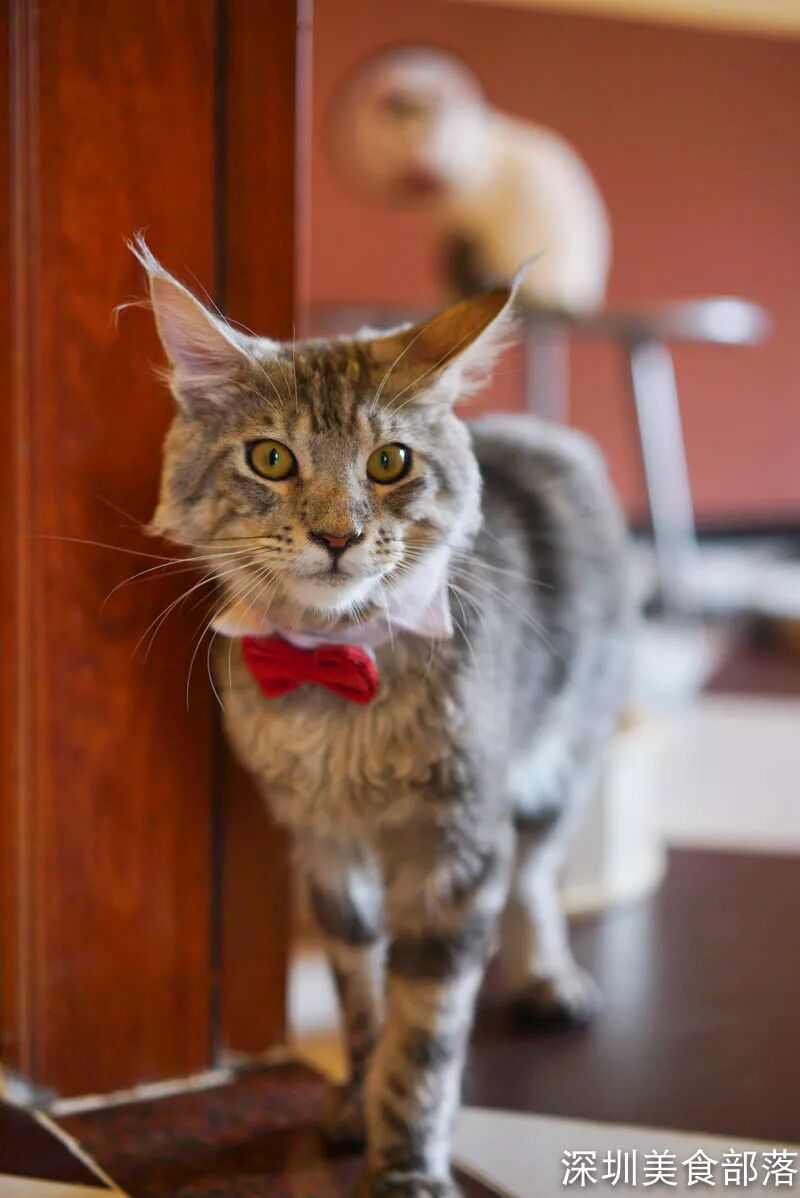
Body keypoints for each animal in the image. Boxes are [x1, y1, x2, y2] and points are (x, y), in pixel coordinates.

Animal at [134, 237, 631, 1198]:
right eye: (272, 460)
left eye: (389, 464)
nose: (337, 536)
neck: (335, 677)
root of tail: (541, 431)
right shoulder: (325, 846)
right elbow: (361, 996)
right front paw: (351, 1104)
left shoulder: (454, 852)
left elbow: (423, 1036)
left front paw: (405, 1163)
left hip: (562, 760)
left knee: (538, 879)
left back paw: (551, 979)